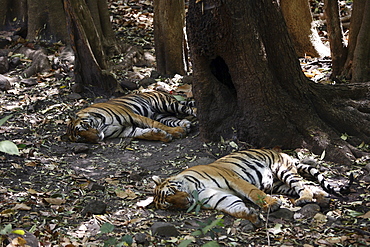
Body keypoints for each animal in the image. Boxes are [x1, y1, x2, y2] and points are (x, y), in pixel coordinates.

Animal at [62, 91, 198, 144]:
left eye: (85, 126)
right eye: (81, 139)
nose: (97, 138)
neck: (102, 126)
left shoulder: (133, 116)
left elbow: (154, 124)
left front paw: (177, 132)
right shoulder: (125, 130)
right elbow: (143, 133)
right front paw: (163, 135)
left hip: (164, 104)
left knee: (189, 108)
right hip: (162, 115)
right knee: (173, 120)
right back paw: (185, 125)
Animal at [152, 148, 352, 225]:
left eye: (172, 192)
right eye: (170, 204)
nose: (186, 201)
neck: (193, 190)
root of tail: (281, 152)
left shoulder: (233, 179)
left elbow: (253, 192)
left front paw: (272, 205)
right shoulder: (215, 196)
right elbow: (232, 205)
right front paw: (249, 215)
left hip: (282, 170)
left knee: (302, 185)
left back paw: (305, 199)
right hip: (279, 186)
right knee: (307, 186)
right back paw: (322, 199)